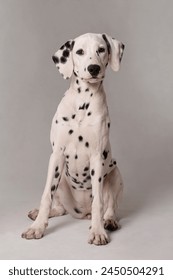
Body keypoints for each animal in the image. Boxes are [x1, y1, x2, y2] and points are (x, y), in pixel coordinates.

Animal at [21, 33, 124, 245]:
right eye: (80, 51)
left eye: (101, 49)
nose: (94, 68)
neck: (82, 103)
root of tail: (81, 213)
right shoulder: (57, 155)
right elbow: (46, 195)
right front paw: (37, 227)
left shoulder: (97, 158)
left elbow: (99, 202)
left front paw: (98, 231)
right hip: (60, 179)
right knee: (60, 208)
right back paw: (38, 213)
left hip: (115, 175)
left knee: (110, 206)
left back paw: (108, 221)